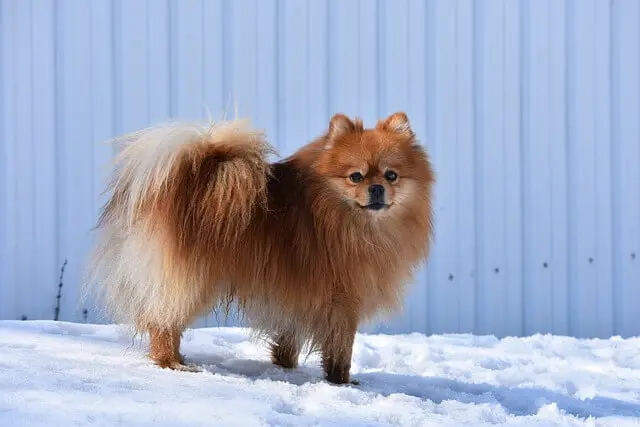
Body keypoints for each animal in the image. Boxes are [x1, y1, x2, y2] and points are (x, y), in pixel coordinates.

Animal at [85, 112, 436, 386]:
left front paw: (285, 367)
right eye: (356, 176)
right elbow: (340, 351)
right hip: (190, 280)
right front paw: (342, 383)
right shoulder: (342, 300)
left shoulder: (294, 296)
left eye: (391, 175)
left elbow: (287, 340)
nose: (377, 188)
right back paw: (172, 363)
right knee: (163, 322)